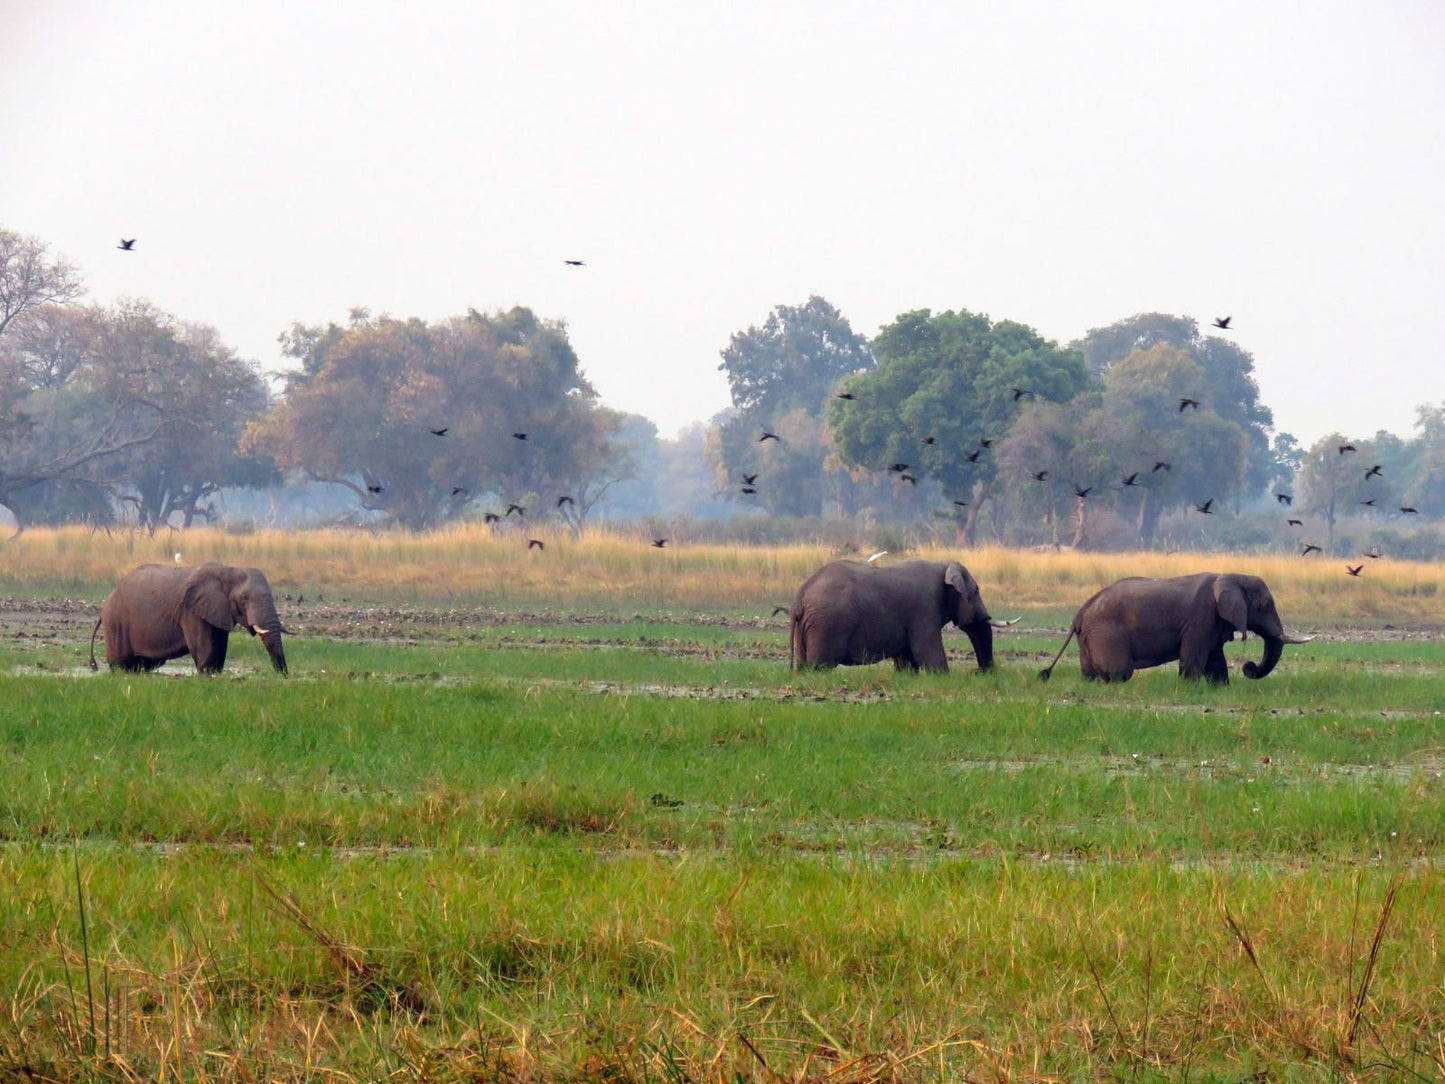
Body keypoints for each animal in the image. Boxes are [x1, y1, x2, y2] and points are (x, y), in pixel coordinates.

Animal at [90, 563, 290, 676]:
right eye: (244, 599)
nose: (284, 676)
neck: (228, 570)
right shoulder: (191, 612)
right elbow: (206, 653)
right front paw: (207, 675)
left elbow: (218, 651)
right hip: (116, 623)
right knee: (121, 664)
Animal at [786, 560, 1011, 670]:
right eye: (976, 591)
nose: (979, 673)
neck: (944, 565)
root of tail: (800, 598)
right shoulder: (925, 608)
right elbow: (927, 651)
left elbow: (907, 657)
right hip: (826, 626)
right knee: (819, 666)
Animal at [1040, 572, 1312, 682]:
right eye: (1265, 605)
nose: (1249, 667)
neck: (1230, 575)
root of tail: (1080, 613)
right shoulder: (1201, 618)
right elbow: (1194, 659)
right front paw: (1190, 687)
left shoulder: (1213, 622)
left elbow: (1216, 660)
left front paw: (1219, 687)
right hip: (1104, 632)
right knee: (1120, 671)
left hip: (1088, 637)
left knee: (1089, 673)